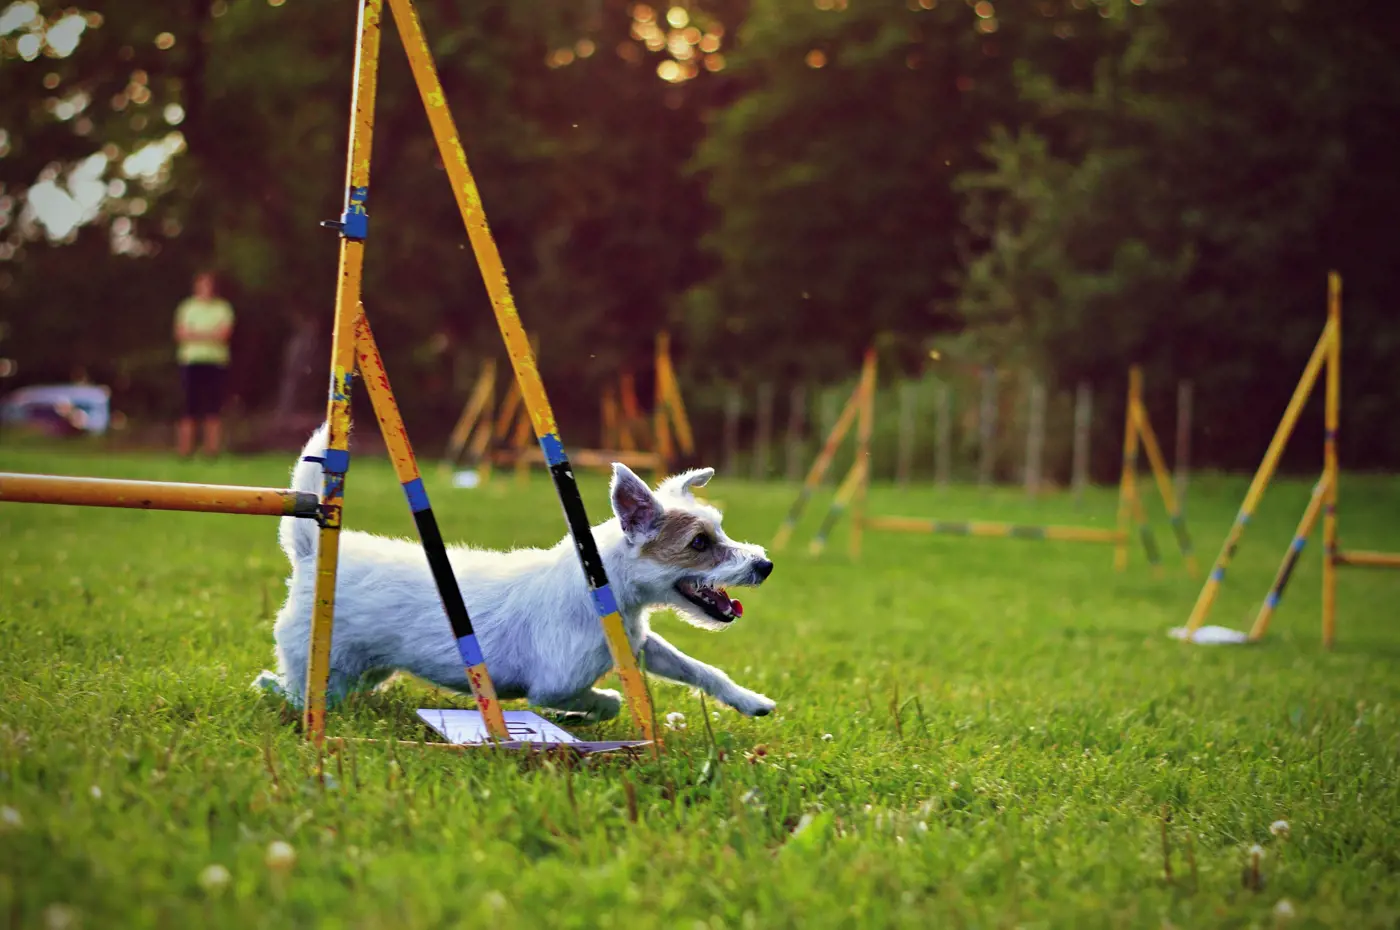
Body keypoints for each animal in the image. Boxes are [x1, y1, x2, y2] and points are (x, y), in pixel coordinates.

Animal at [252, 425, 778, 722]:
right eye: (699, 544)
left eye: (719, 529)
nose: (765, 565)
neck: (603, 590)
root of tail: (309, 555)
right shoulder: (555, 683)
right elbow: (602, 700)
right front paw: (577, 716)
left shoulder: (640, 645)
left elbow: (698, 668)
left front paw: (750, 700)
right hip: (324, 665)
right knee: (297, 691)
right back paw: (274, 690)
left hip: (369, 669)